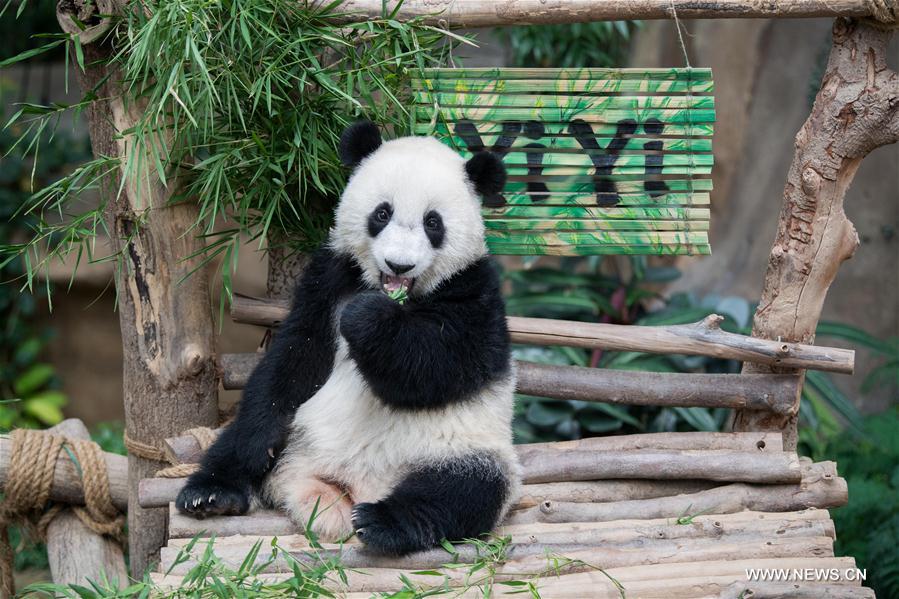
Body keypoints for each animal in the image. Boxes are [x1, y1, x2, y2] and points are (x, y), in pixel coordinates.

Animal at [177, 122, 524, 556]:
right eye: (382, 213)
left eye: (433, 223)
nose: (399, 264)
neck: (398, 295)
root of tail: (346, 488)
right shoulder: (328, 279)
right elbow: (295, 357)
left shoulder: (475, 293)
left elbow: (438, 368)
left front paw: (368, 318)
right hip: (297, 436)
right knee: (235, 444)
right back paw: (212, 493)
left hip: (464, 450)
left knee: (462, 491)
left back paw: (383, 522)